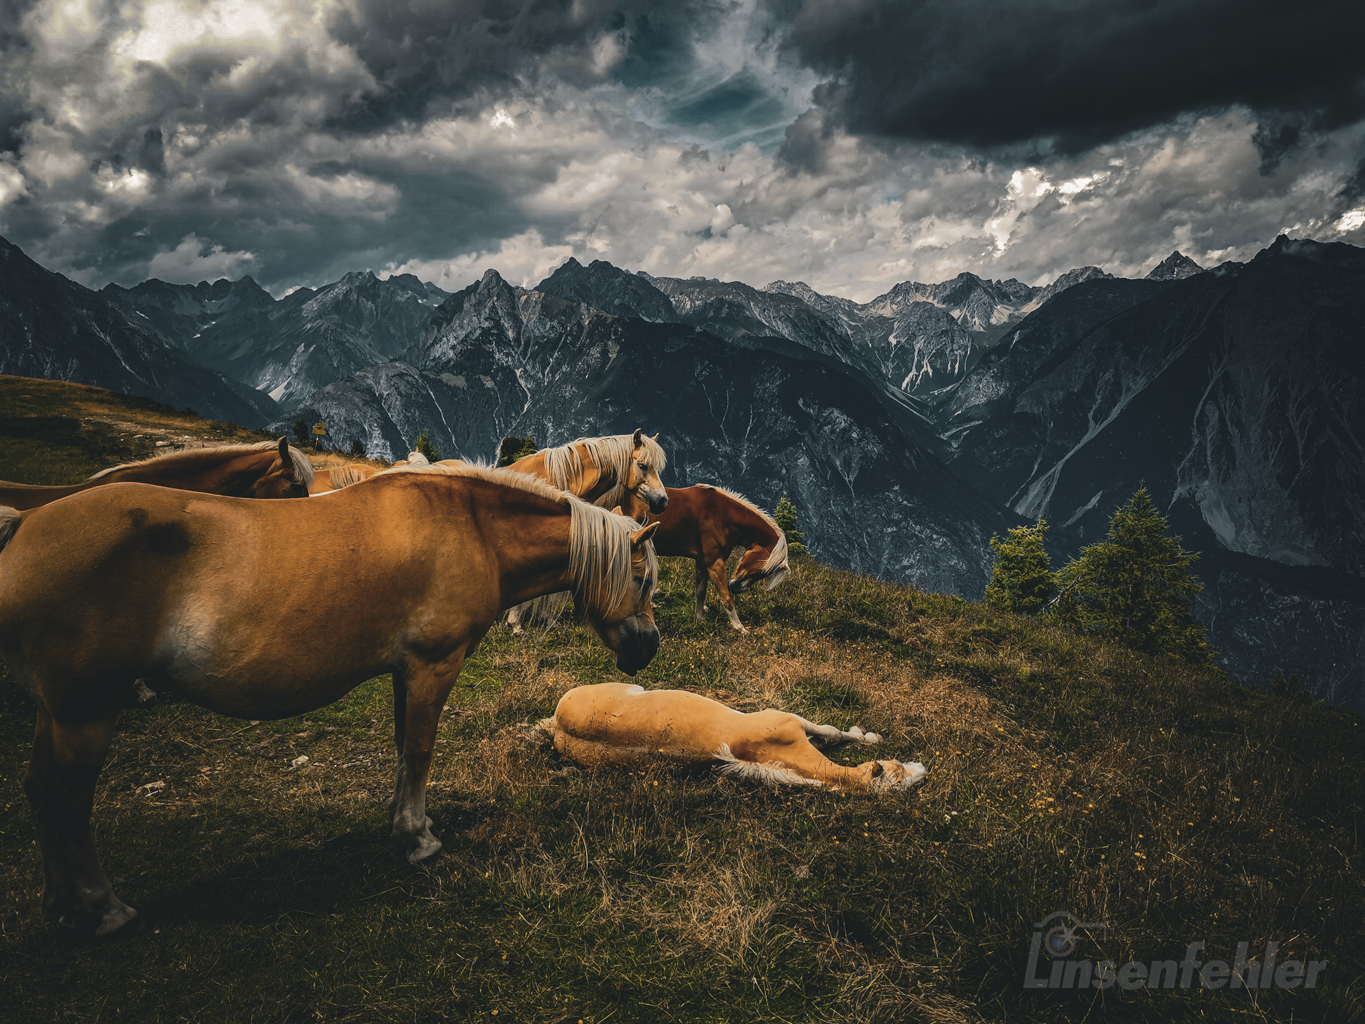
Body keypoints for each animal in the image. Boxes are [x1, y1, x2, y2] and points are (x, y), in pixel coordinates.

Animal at [0, 463, 660, 936]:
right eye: (642, 578)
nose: (649, 647)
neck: (471, 528)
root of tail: (23, 528)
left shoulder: (404, 672)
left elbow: (401, 750)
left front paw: (405, 824)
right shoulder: (432, 666)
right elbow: (419, 751)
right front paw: (418, 839)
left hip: (58, 713)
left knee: (40, 791)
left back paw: (62, 903)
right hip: (86, 713)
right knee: (66, 800)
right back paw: (102, 908)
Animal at [538, 683, 926, 792]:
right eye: (898, 770)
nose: (923, 771)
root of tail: (556, 724)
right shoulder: (786, 717)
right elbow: (831, 731)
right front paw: (870, 735)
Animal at [618, 485, 789, 632]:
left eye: (764, 574)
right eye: (761, 568)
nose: (736, 588)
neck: (724, 515)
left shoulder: (702, 561)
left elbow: (700, 592)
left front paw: (699, 620)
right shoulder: (715, 563)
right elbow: (726, 597)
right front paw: (740, 628)